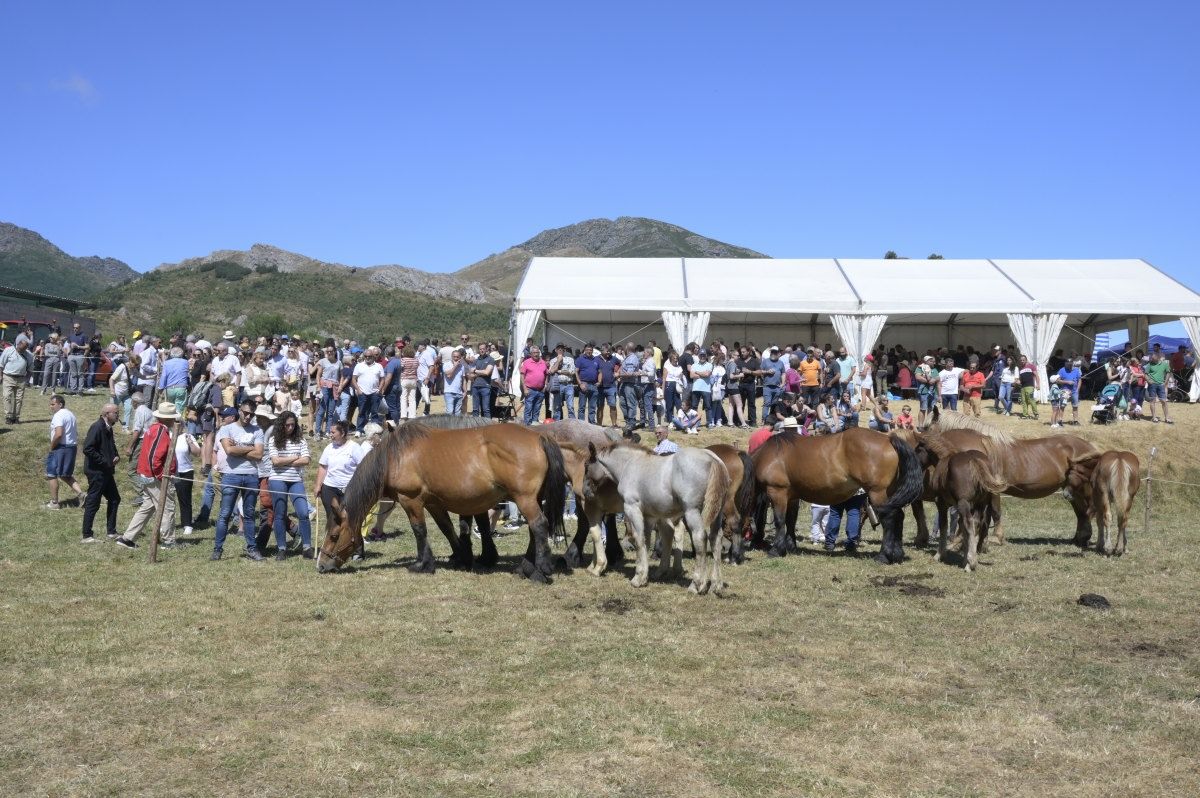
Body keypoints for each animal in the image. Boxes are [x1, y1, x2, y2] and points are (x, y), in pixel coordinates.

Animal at [321, 420, 568, 583]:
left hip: (524, 498)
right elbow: (447, 528)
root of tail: (538, 437)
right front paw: (462, 558)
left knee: (539, 525)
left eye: (334, 536)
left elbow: (419, 530)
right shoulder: (433, 502)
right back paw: (526, 567)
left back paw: (540, 572)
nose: (322, 565)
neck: (394, 456)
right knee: (534, 531)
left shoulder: (411, 500)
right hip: (533, 498)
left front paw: (422, 564)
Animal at [583, 441, 729, 590]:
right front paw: (643, 576)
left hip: (692, 511)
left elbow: (638, 539)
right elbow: (645, 541)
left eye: (586, 466)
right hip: (717, 512)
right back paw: (716, 585)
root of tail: (713, 459)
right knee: (715, 539)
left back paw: (696, 585)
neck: (628, 464)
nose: (585, 492)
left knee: (700, 537)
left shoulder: (632, 508)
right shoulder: (649, 515)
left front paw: (637, 578)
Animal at [748, 427, 926, 564]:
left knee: (890, 519)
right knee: (899, 517)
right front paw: (790, 546)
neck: (770, 455)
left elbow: (780, 521)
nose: (753, 543)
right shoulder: (792, 497)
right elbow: (791, 520)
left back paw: (883, 556)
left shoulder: (777, 492)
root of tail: (888, 439)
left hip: (878, 493)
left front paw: (776, 550)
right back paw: (898, 554)